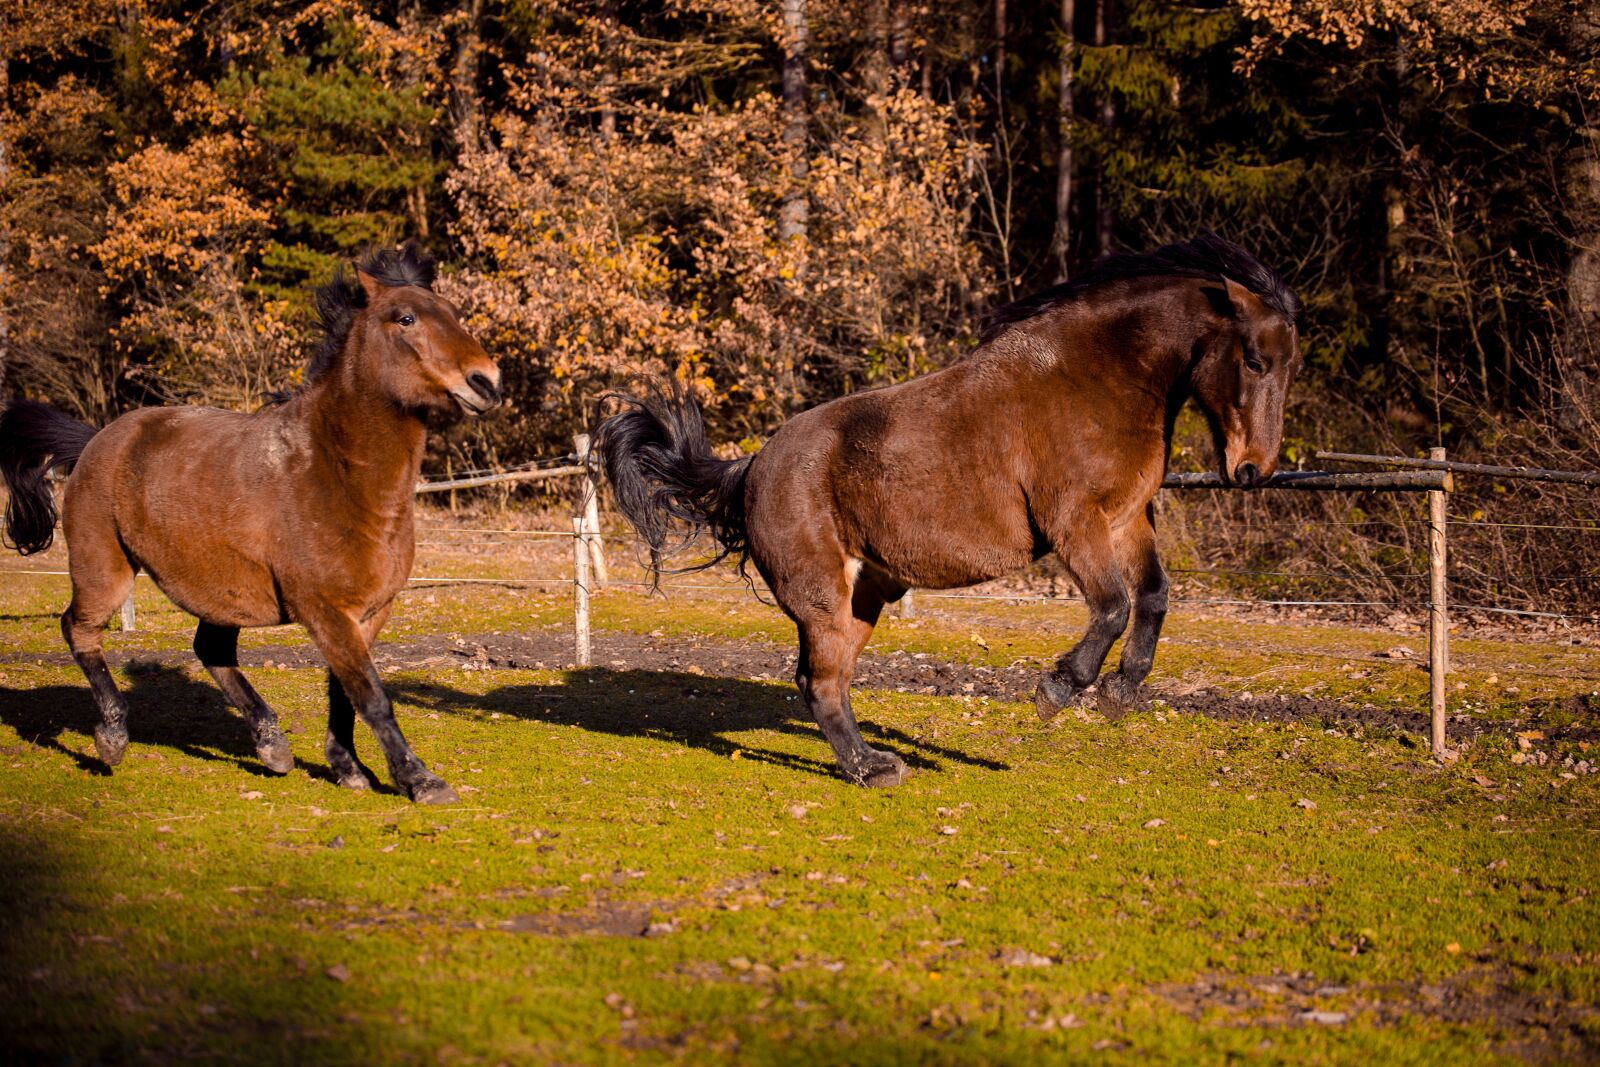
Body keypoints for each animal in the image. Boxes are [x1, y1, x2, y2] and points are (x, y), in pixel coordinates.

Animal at [0, 242, 501, 804]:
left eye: (454, 313)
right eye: (406, 318)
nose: (486, 382)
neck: (336, 475)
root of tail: (94, 441)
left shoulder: (369, 613)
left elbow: (345, 690)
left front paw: (348, 767)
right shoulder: (325, 611)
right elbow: (372, 696)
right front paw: (419, 779)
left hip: (219, 588)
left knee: (210, 650)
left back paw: (271, 743)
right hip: (103, 569)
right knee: (79, 629)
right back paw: (112, 735)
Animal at [595, 232, 1302, 787]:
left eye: (1289, 366)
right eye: (1254, 360)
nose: (1252, 471)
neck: (1098, 380)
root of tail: (749, 468)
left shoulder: (1127, 517)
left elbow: (1152, 598)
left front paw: (1120, 692)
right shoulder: (1076, 524)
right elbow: (1113, 606)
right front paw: (1058, 690)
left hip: (863, 599)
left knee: (824, 681)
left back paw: (872, 762)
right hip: (821, 597)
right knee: (821, 684)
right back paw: (873, 771)